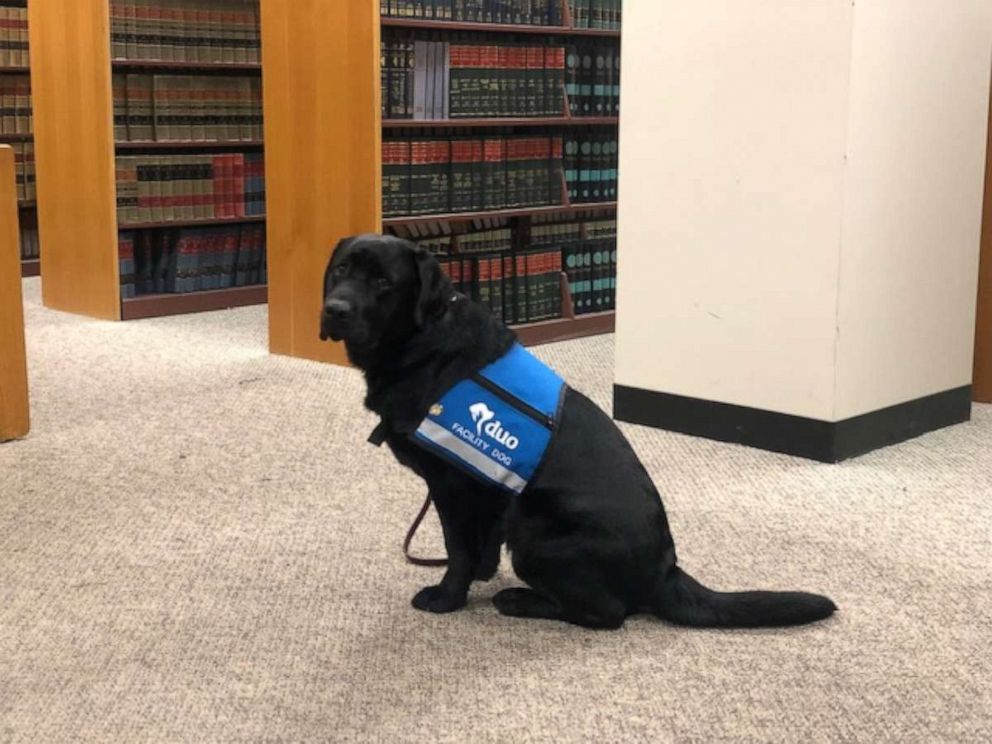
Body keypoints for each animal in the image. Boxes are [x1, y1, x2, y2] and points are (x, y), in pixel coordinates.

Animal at [322, 235, 832, 632]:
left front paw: (448, 597)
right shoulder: (488, 489)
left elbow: (458, 547)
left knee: (608, 614)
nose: (334, 309)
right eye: (341, 269)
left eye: (384, 283)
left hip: (536, 533)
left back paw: (521, 601)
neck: (420, 342)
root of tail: (665, 568)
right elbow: (480, 545)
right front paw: (479, 578)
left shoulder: (454, 484)